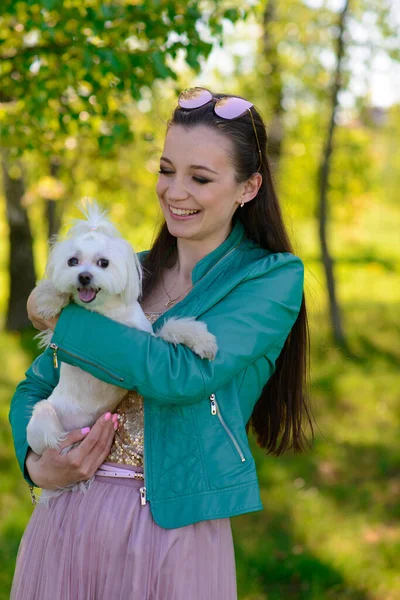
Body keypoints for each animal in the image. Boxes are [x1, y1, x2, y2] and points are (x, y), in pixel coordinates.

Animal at [26, 202, 217, 496]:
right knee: (48, 434)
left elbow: (174, 327)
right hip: (43, 417)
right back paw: (69, 447)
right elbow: (56, 294)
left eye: (103, 262)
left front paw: (203, 340)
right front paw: (49, 299)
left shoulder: (147, 341)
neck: (105, 313)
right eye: (72, 261)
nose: (84, 276)